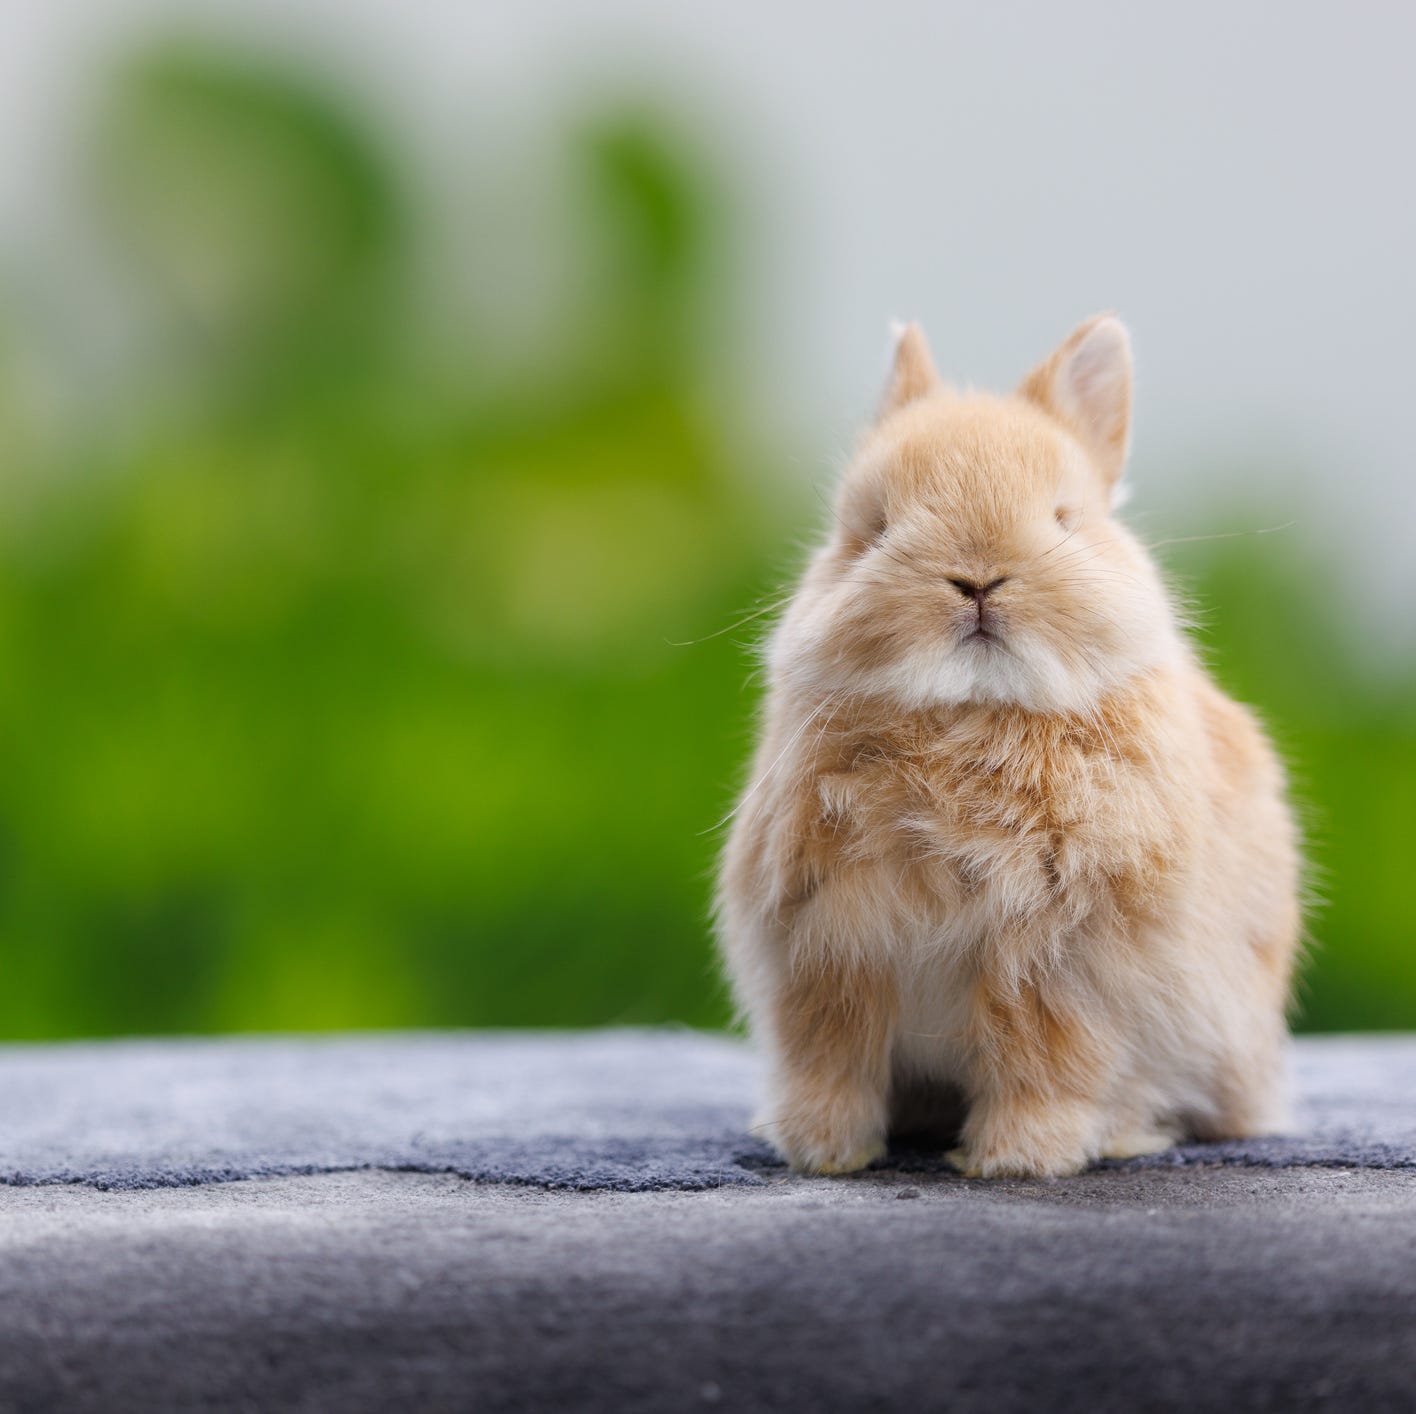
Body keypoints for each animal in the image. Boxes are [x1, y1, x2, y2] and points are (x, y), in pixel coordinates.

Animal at [716, 315, 1302, 1179]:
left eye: (1065, 520)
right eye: (872, 529)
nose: (978, 578)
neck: (969, 712)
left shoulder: (1059, 968)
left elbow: (1044, 1063)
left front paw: (1016, 1160)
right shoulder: (827, 952)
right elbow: (833, 1061)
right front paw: (823, 1152)